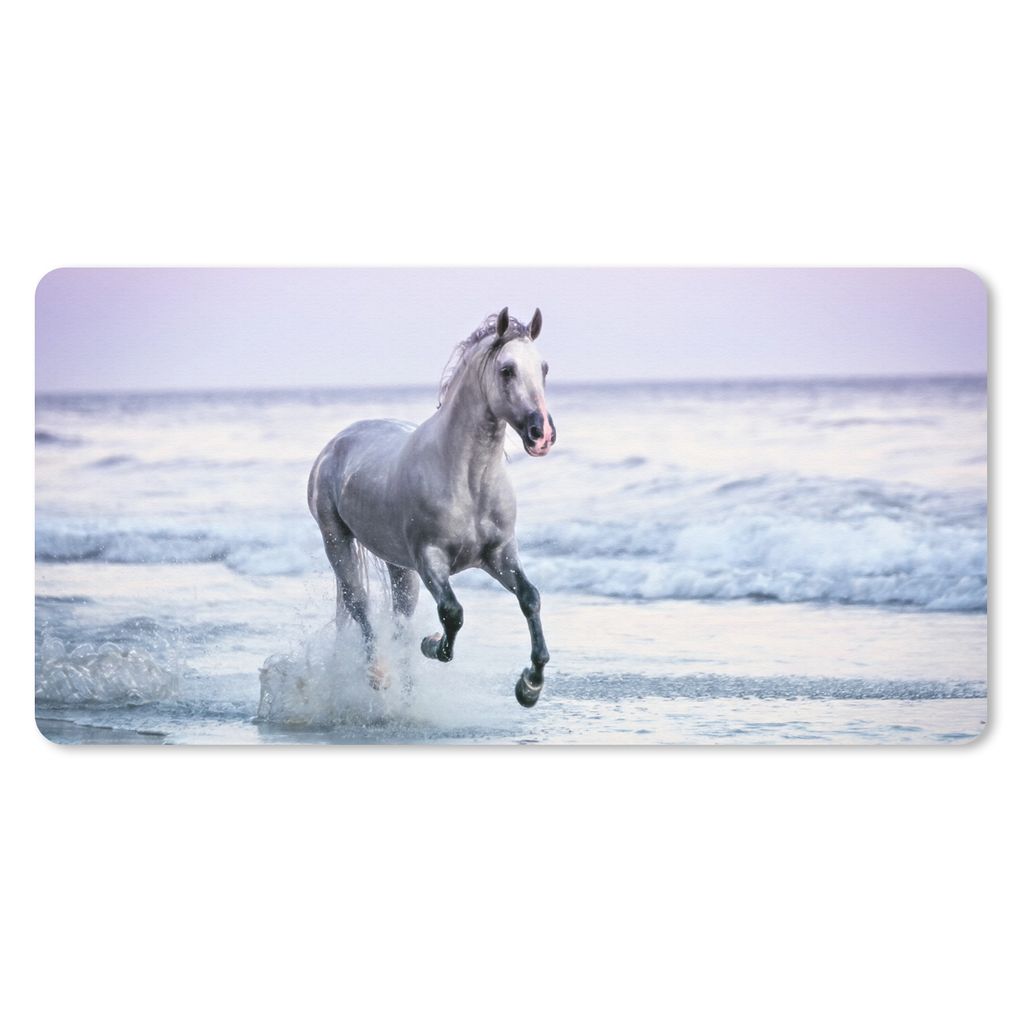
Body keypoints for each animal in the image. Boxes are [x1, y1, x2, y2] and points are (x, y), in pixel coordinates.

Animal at [307, 307, 556, 707]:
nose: (542, 434)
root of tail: (336, 442)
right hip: (337, 542)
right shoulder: (430, 560)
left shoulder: (499, 555)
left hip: (397, 566)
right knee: (360, 605)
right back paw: (378, 673)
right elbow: (452, 614)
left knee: (399, 618)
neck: (468, 480)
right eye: (507, 370)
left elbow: (530, 598)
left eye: (544, 368)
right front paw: (433, 644)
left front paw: (529, 687)